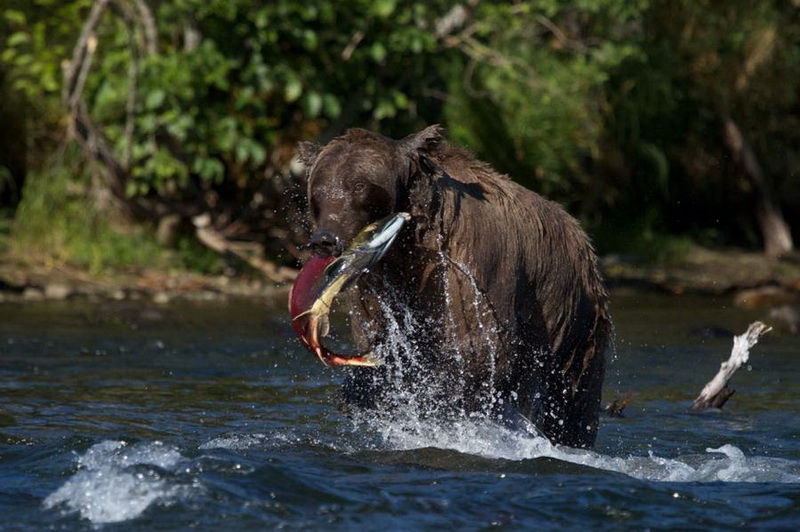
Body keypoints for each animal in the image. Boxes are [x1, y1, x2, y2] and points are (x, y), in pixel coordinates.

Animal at [296, 125, 608, 448]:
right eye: (317, 190)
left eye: (358, 185)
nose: (324, 239)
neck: (410, 244)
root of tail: (583, 237)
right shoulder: (381, 281)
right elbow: (380, 340)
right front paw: (367, 391)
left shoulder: (469, 266)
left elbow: (478, 347)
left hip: (572, 317)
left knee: (571, 395)